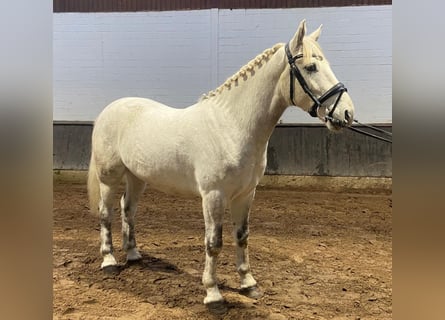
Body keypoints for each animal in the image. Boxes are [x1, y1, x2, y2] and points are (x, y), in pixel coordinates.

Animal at [86, 20, 354, 312]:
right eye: (311, 67)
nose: (347, 114)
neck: (232, 126)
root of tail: (110, 109)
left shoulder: (246, 194)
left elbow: (242, 236)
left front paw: (248, 285)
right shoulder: (213, 195)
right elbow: (214, 243)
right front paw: (213, 295)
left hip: (137, 177)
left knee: (128, 209)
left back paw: (134, 254)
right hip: (109, 177)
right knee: (106, 213)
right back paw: (109, 261)